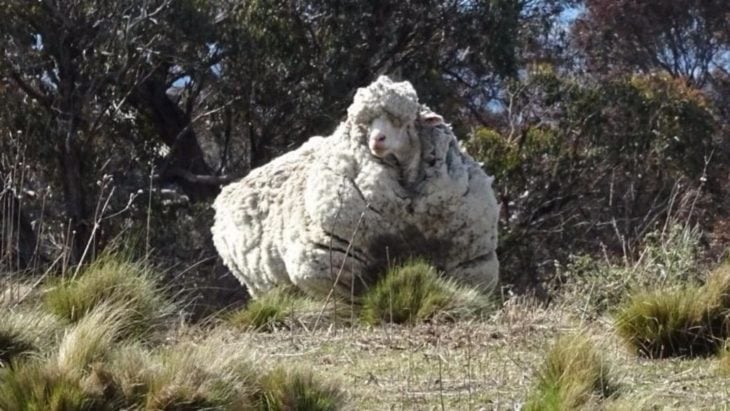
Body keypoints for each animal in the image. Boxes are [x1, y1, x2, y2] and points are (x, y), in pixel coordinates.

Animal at [208, 75, 498, 300]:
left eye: (402, 121)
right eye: (365, 124)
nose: (377, 140)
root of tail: (223, 194)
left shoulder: (470, 262)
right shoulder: (331, 263)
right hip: (261, 285)